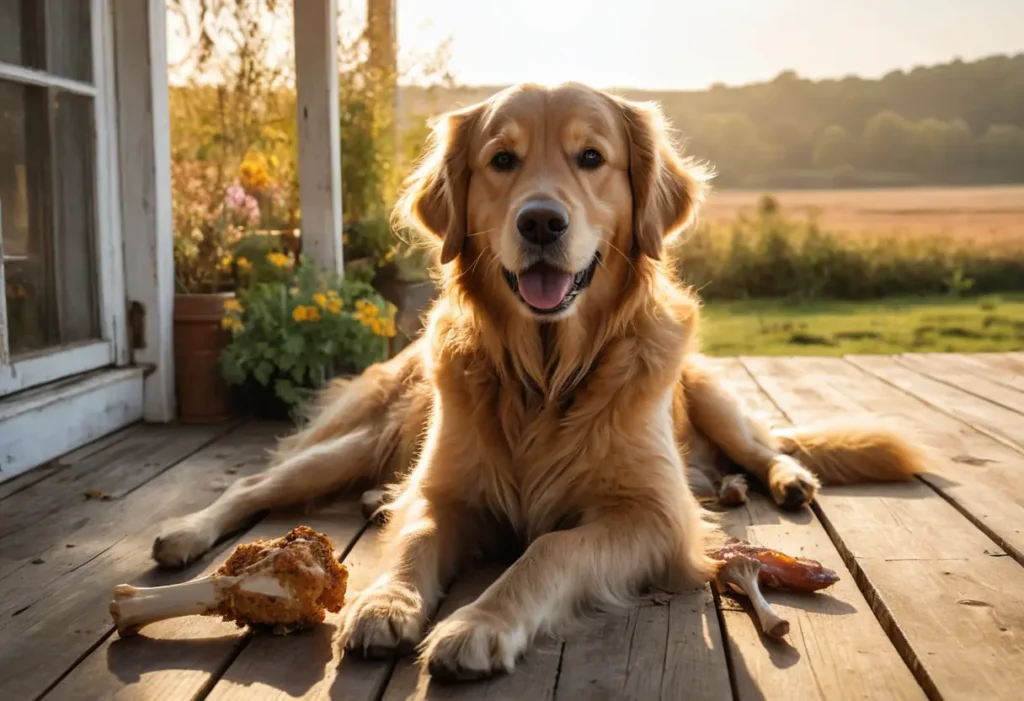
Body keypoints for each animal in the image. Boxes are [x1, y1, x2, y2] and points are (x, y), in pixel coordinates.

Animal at [153, 81, 929, 679]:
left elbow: (549, 548)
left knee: (765, 445)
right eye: (503, 160)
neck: (547, 375)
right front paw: (384, 602)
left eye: (592, 158)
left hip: (712, 398)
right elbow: (414, 536)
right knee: (260, 484)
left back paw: (779, 480)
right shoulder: (444, 490)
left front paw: (478, 623)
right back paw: (189, 532)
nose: (541, 222)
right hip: (359, 442)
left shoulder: (653, 517)